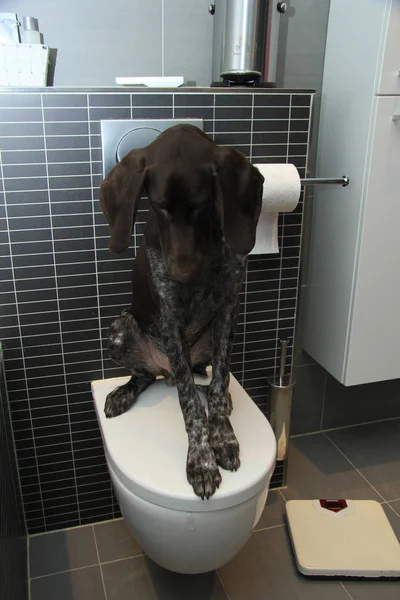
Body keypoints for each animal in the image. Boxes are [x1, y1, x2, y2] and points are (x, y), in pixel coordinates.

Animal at [99, 124, 264, 500]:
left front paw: (223, 436)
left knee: (202, 376)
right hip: (120, 330)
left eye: (201, 206)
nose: (181, 273)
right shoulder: (169, 319)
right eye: (158, 208)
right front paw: (201, 459)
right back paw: (124, 393)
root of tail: (166, 372)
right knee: (149, 376)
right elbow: (189, 404)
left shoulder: (228, 309)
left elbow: (217, 384)